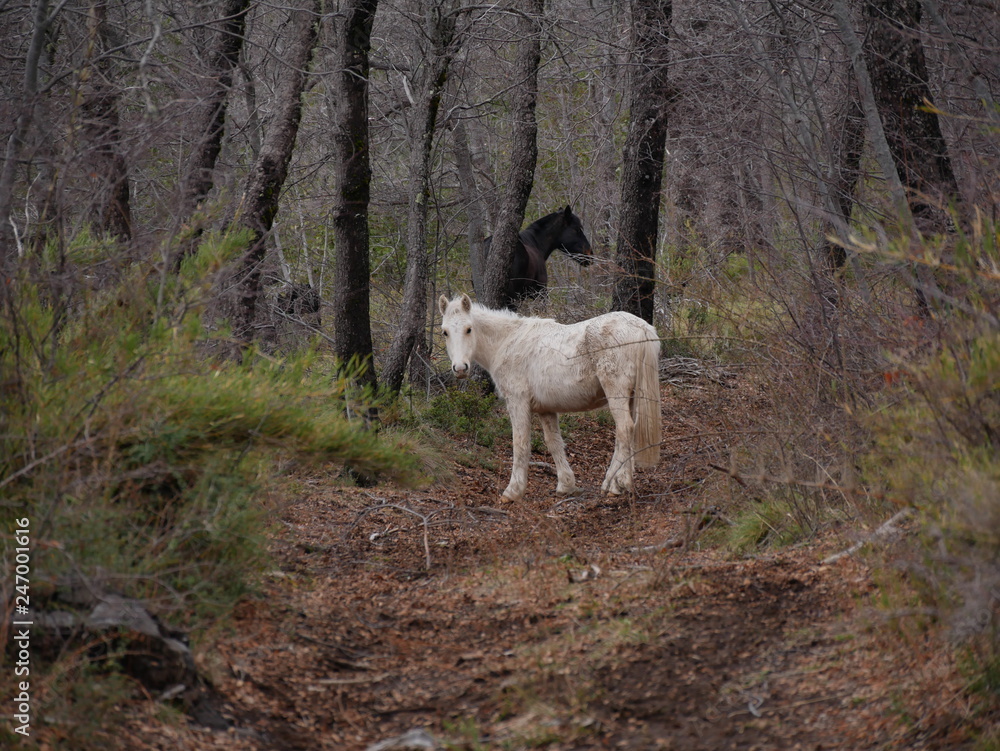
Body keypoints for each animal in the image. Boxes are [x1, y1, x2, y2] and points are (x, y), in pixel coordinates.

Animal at [438, 293, 661, 502]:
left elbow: (520, 444)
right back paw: (621, 483)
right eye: (445, 332)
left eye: (468, 329)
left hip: (617, 393)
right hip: (631, 397)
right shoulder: (545, 410)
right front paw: (566, 485)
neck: (508, 342)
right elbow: (554, 443)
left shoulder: (517, 403)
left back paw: (612, 484)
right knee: (628, 435)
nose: (460, 368)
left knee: (624, 430)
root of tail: (642, 327)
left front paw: (513, 491)